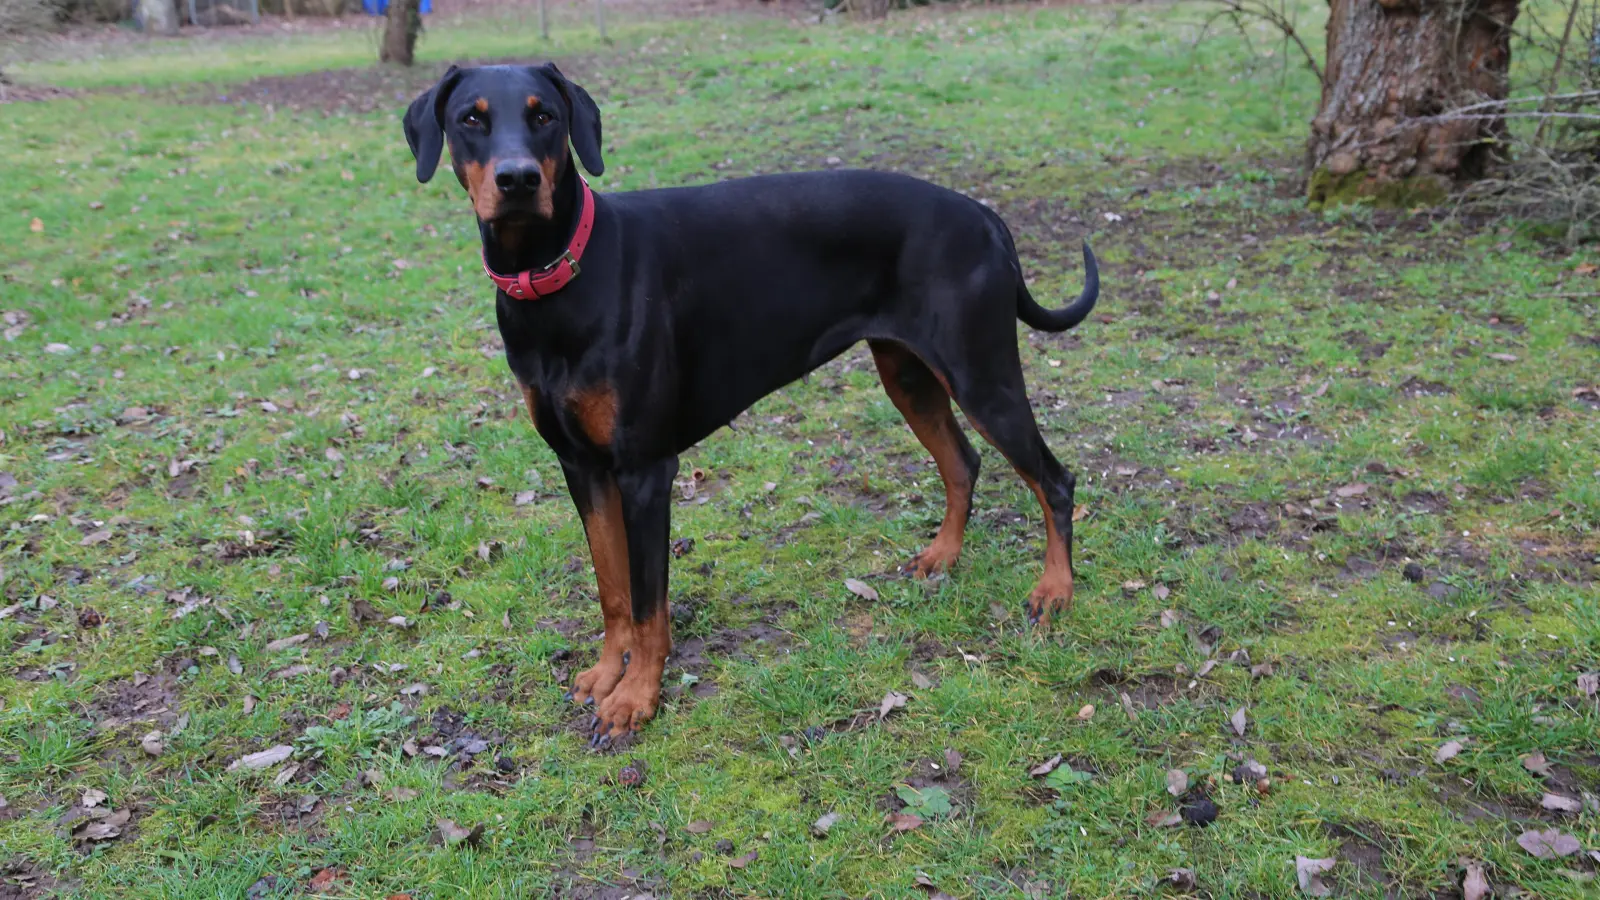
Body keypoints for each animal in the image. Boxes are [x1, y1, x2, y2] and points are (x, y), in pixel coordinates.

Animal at [400, 63, 1100, 746]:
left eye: (544, 115)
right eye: (470, 119)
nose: (517, 179)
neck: (557, 279)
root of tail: (983, 215)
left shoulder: (645, 470)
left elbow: (650, 603)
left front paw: (635, 698)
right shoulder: (582, 466)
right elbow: (612, 587)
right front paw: (605, 672)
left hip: (981, 374)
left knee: (1054, 480)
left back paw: (1054, 590)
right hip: (906, 373)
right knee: (962, 461)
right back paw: (944, 555)